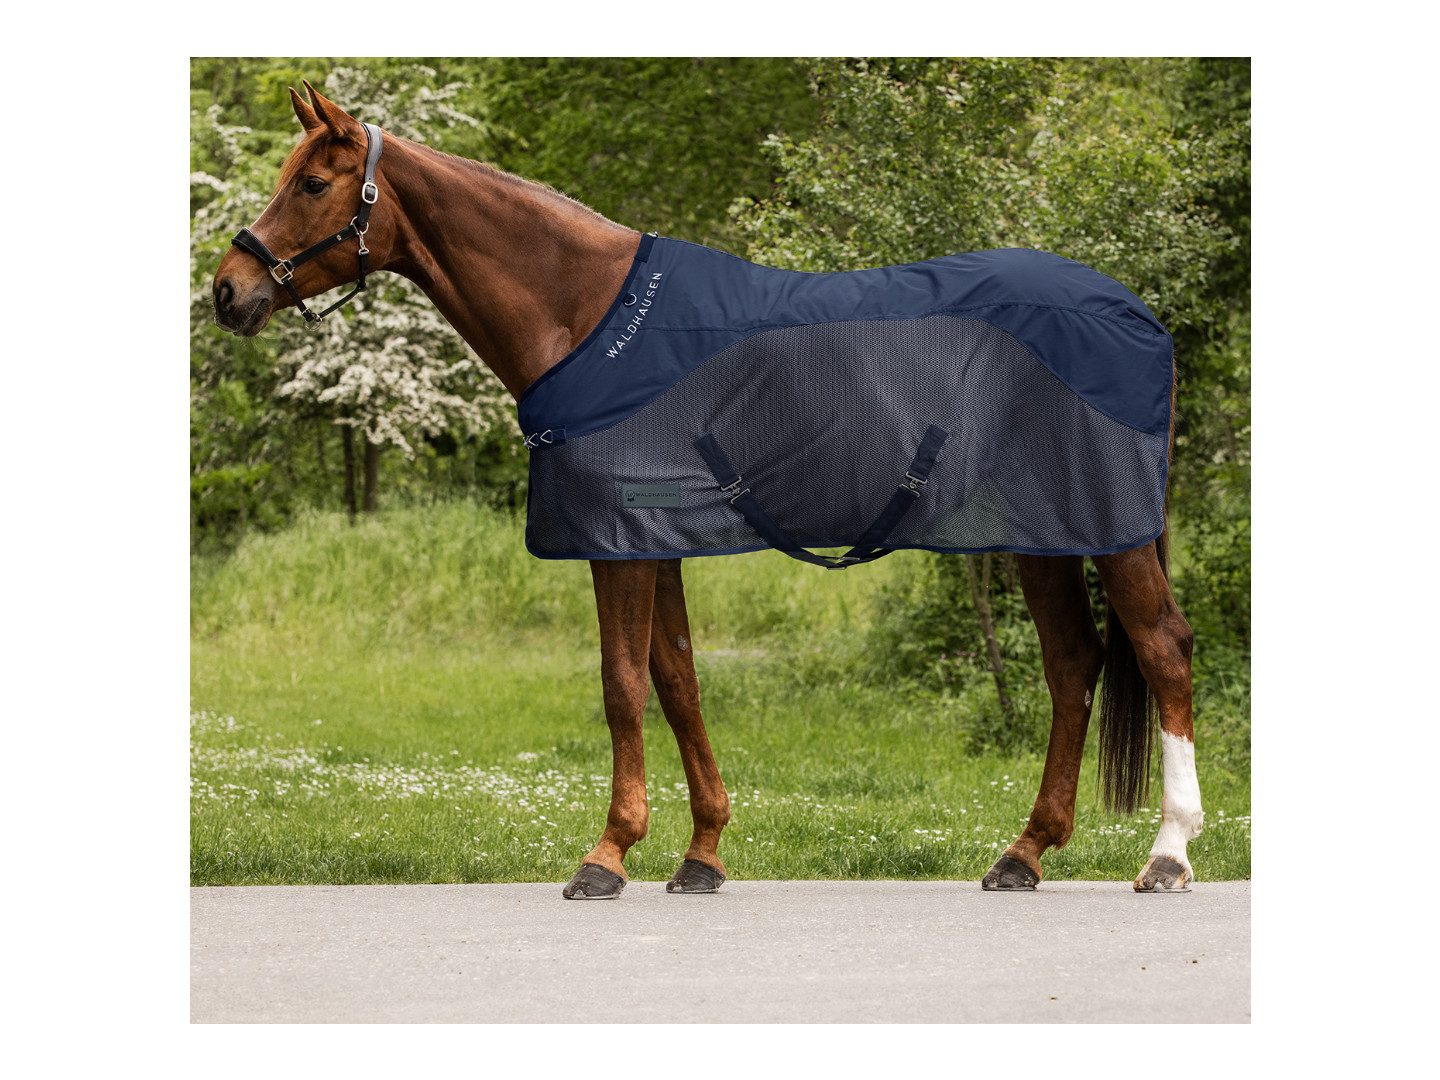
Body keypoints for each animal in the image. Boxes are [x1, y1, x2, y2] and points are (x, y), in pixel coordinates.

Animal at [210, 83, 1203, 898]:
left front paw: (607, 855)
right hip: (1042, 535)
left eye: (312, 184)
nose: (228, 290)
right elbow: (678, 679)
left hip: (1109, 533)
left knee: (1162, 650)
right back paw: (1023, 853)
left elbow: (620, 684)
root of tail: (1135, 312)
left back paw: (1168, 854)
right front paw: (702, 853)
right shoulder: (655, 543)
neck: (588, 316)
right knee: (1073, 664)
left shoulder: (615, 543)